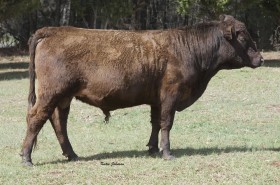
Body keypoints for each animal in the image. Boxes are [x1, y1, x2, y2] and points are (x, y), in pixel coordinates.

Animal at [21, 14, 262, 166]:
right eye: (242, 35)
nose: (260, 58)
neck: (188, 48)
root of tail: (54, 30)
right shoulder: (170, 95)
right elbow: (166, 123)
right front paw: (167, 152)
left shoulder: (156, 99)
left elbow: (155, 123)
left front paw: (153, 148)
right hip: (51, 93)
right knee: (36, 117)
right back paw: (26, 158)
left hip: (64, 96)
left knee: (58, 121)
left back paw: (71, 154)